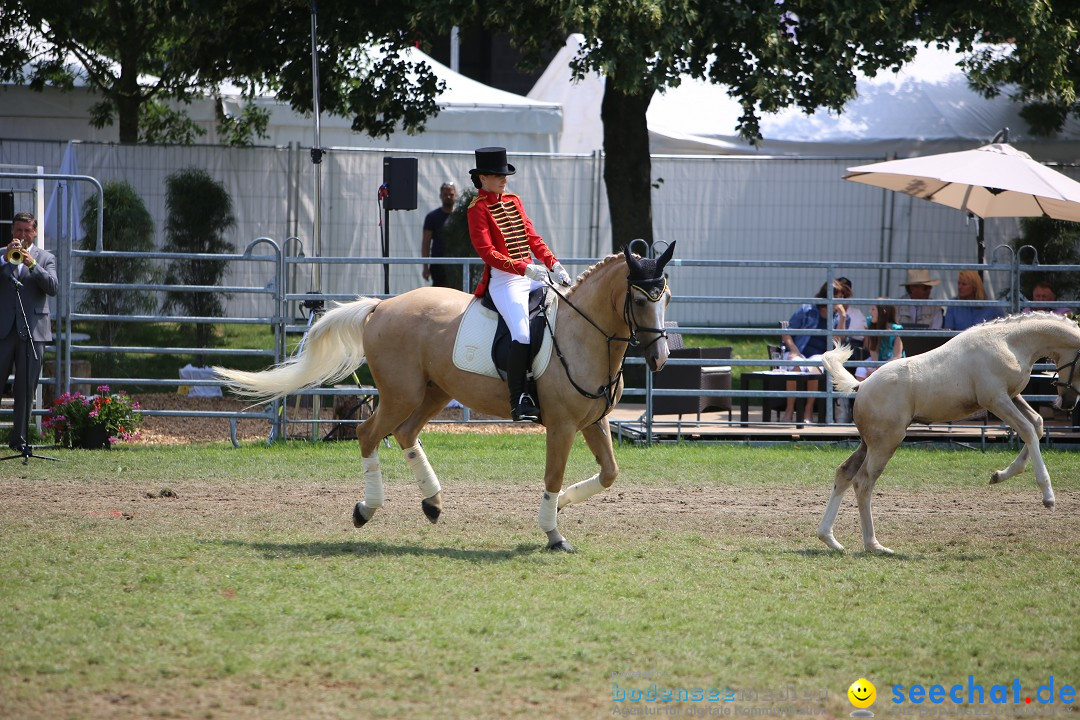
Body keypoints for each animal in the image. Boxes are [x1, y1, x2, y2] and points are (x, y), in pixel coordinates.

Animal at [214, 243, 673, 552]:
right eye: (638, 299)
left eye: (665, 296)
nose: (660, 358)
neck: (583, 336)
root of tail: (381, 308)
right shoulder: (560, 426)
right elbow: (552, 478)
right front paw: (554, 532)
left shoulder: (593, 422)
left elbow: (609, 473)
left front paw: (563, 507)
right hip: (401, 394)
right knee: (368, 433)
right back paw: (367, 509)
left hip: (433, 393)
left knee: (404, 434)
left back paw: (432, 503)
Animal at [816, 313, 1080, 557]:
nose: (1067, 403)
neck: (1009, 341)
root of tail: (861, 385)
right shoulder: (995, 399)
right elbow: (1028, 431)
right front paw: (1048, 497)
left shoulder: (1012, 396)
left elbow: (1037, 424)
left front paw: (999, 475)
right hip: (886, 444)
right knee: (863, 482)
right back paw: (874, 545)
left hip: (868, 444)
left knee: (844, 473)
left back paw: (830, 539)